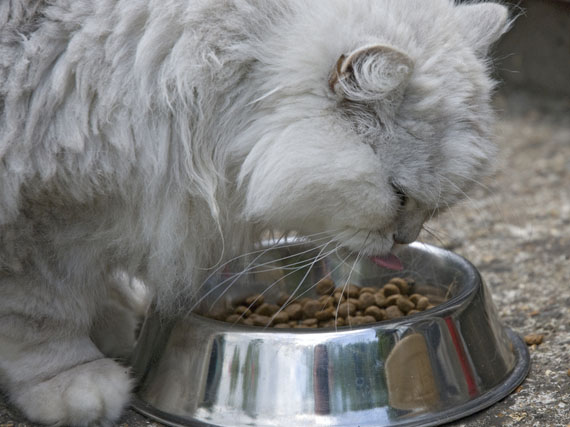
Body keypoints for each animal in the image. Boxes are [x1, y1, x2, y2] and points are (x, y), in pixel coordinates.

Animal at [0, 0, 506, 424]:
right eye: (399, 196)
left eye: (430, 209)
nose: (405, 238)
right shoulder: (41, 214)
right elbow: (44, 315)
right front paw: (74, 380)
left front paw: (111, 321)